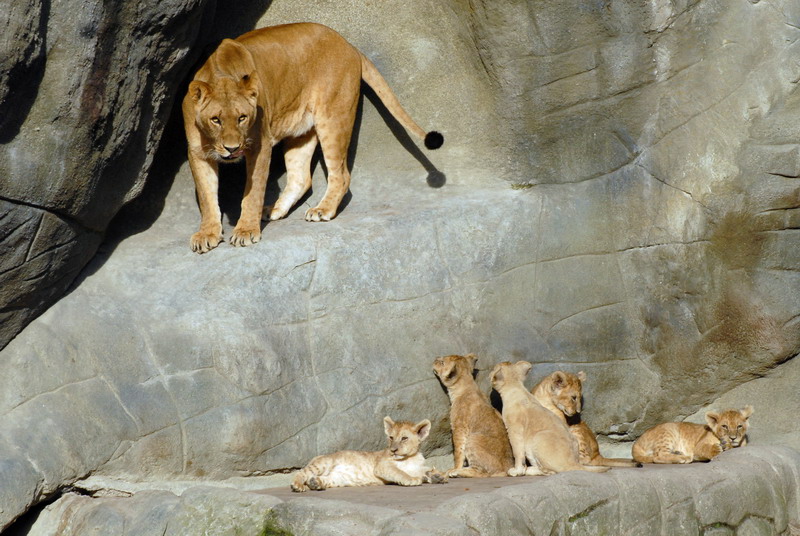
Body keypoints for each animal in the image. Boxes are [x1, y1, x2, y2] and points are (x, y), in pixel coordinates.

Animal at [182, 22, 443, 253]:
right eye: (216, 119)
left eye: (242, 118)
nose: (232, 149)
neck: (220, 74)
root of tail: (348, 44)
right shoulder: (197, 153)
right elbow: (207, 197)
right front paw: (207, 234)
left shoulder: (259, 146)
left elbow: (252, 192)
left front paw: (246, 230)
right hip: (301, 131)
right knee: (301, 178)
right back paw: (275, 209)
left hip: (333, 117)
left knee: (341, 175)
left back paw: (322, 210)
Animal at [291, 417, 447, 491]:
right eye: (391, 437)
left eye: (404, 438)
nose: (393, 450)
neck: (409, 457)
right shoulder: (382, 466)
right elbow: (399, 472)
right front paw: (412, 480)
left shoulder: (416, 467)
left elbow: (423, 470)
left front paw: (437, 476)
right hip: (323, 463)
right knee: (301, 472)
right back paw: (298, 486)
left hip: (338, 479)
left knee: (324, 479)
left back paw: (315, 483)